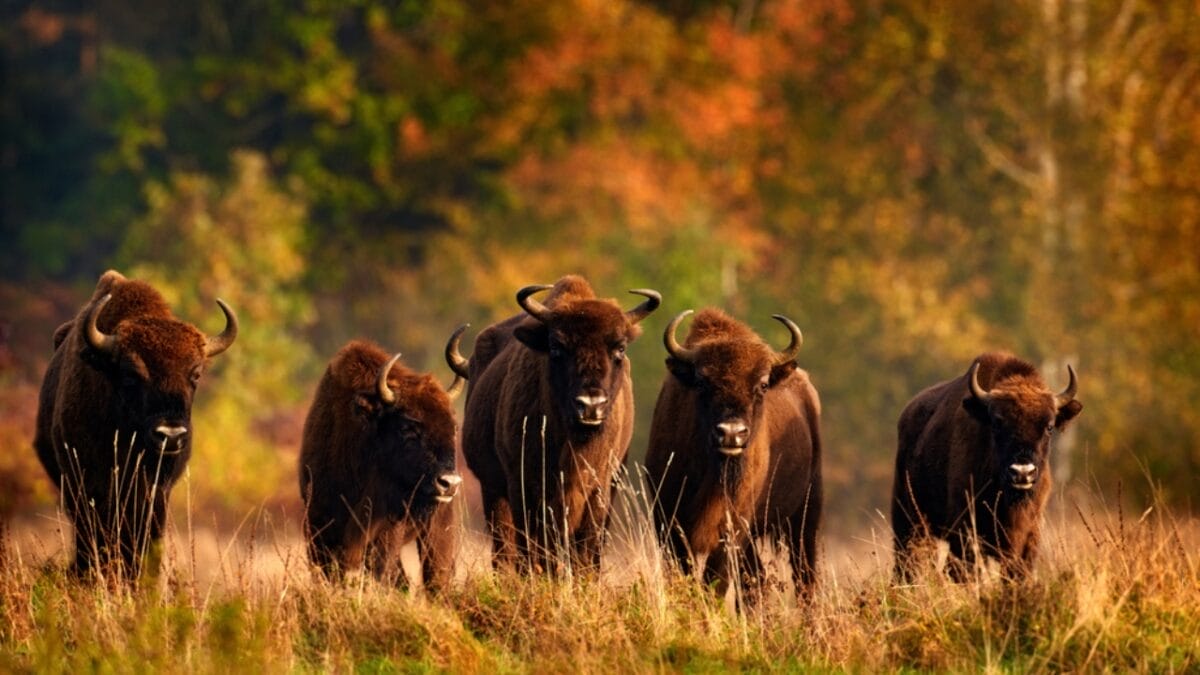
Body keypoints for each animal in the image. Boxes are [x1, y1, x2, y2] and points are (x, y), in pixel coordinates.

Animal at [459, 275, 660, 574]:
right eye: (556, 347)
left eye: (620, 348)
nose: (590, 404)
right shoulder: (522, 485)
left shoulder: (600, 487)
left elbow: (585, 548)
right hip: (492, 487)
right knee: (505, 547)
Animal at [645, 308, 823, 600]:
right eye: (702, 382)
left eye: (763, 385)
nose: (731, 433)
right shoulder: (667, 519)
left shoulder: (733, 526)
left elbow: (715, 580)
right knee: (756, 579)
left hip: (806, 514)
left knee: (804, 577)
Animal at [891, 352, 1082, 581]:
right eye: (997, 423)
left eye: (1049, 426)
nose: (1022, 473)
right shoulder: (965, 530)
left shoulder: (1029, 536)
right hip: (908, 521)